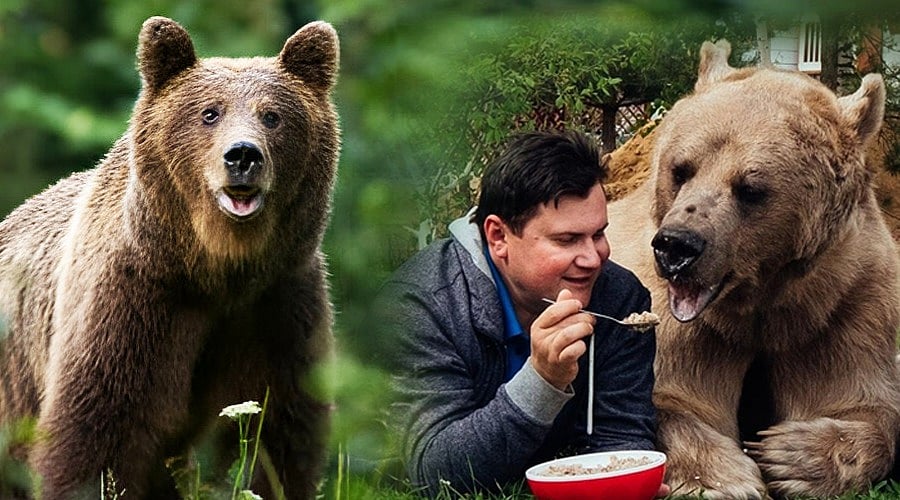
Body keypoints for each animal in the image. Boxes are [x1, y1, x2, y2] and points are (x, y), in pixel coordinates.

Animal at [0, 16, 339, 499]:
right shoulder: (136, 300)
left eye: (272, 115)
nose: (242, 155)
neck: (216, 269)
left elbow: (276, 430)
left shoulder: (276, 304)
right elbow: (99, 429)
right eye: (210, 112)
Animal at [606, 40, 900, 499]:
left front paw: (789, 456)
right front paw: (725, 477)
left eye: (750, 188)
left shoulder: (844, 305)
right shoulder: (676, 318)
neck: (761, 304)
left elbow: (856, 400)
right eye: (681, 169)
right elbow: (673, 396)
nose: (677, 246)